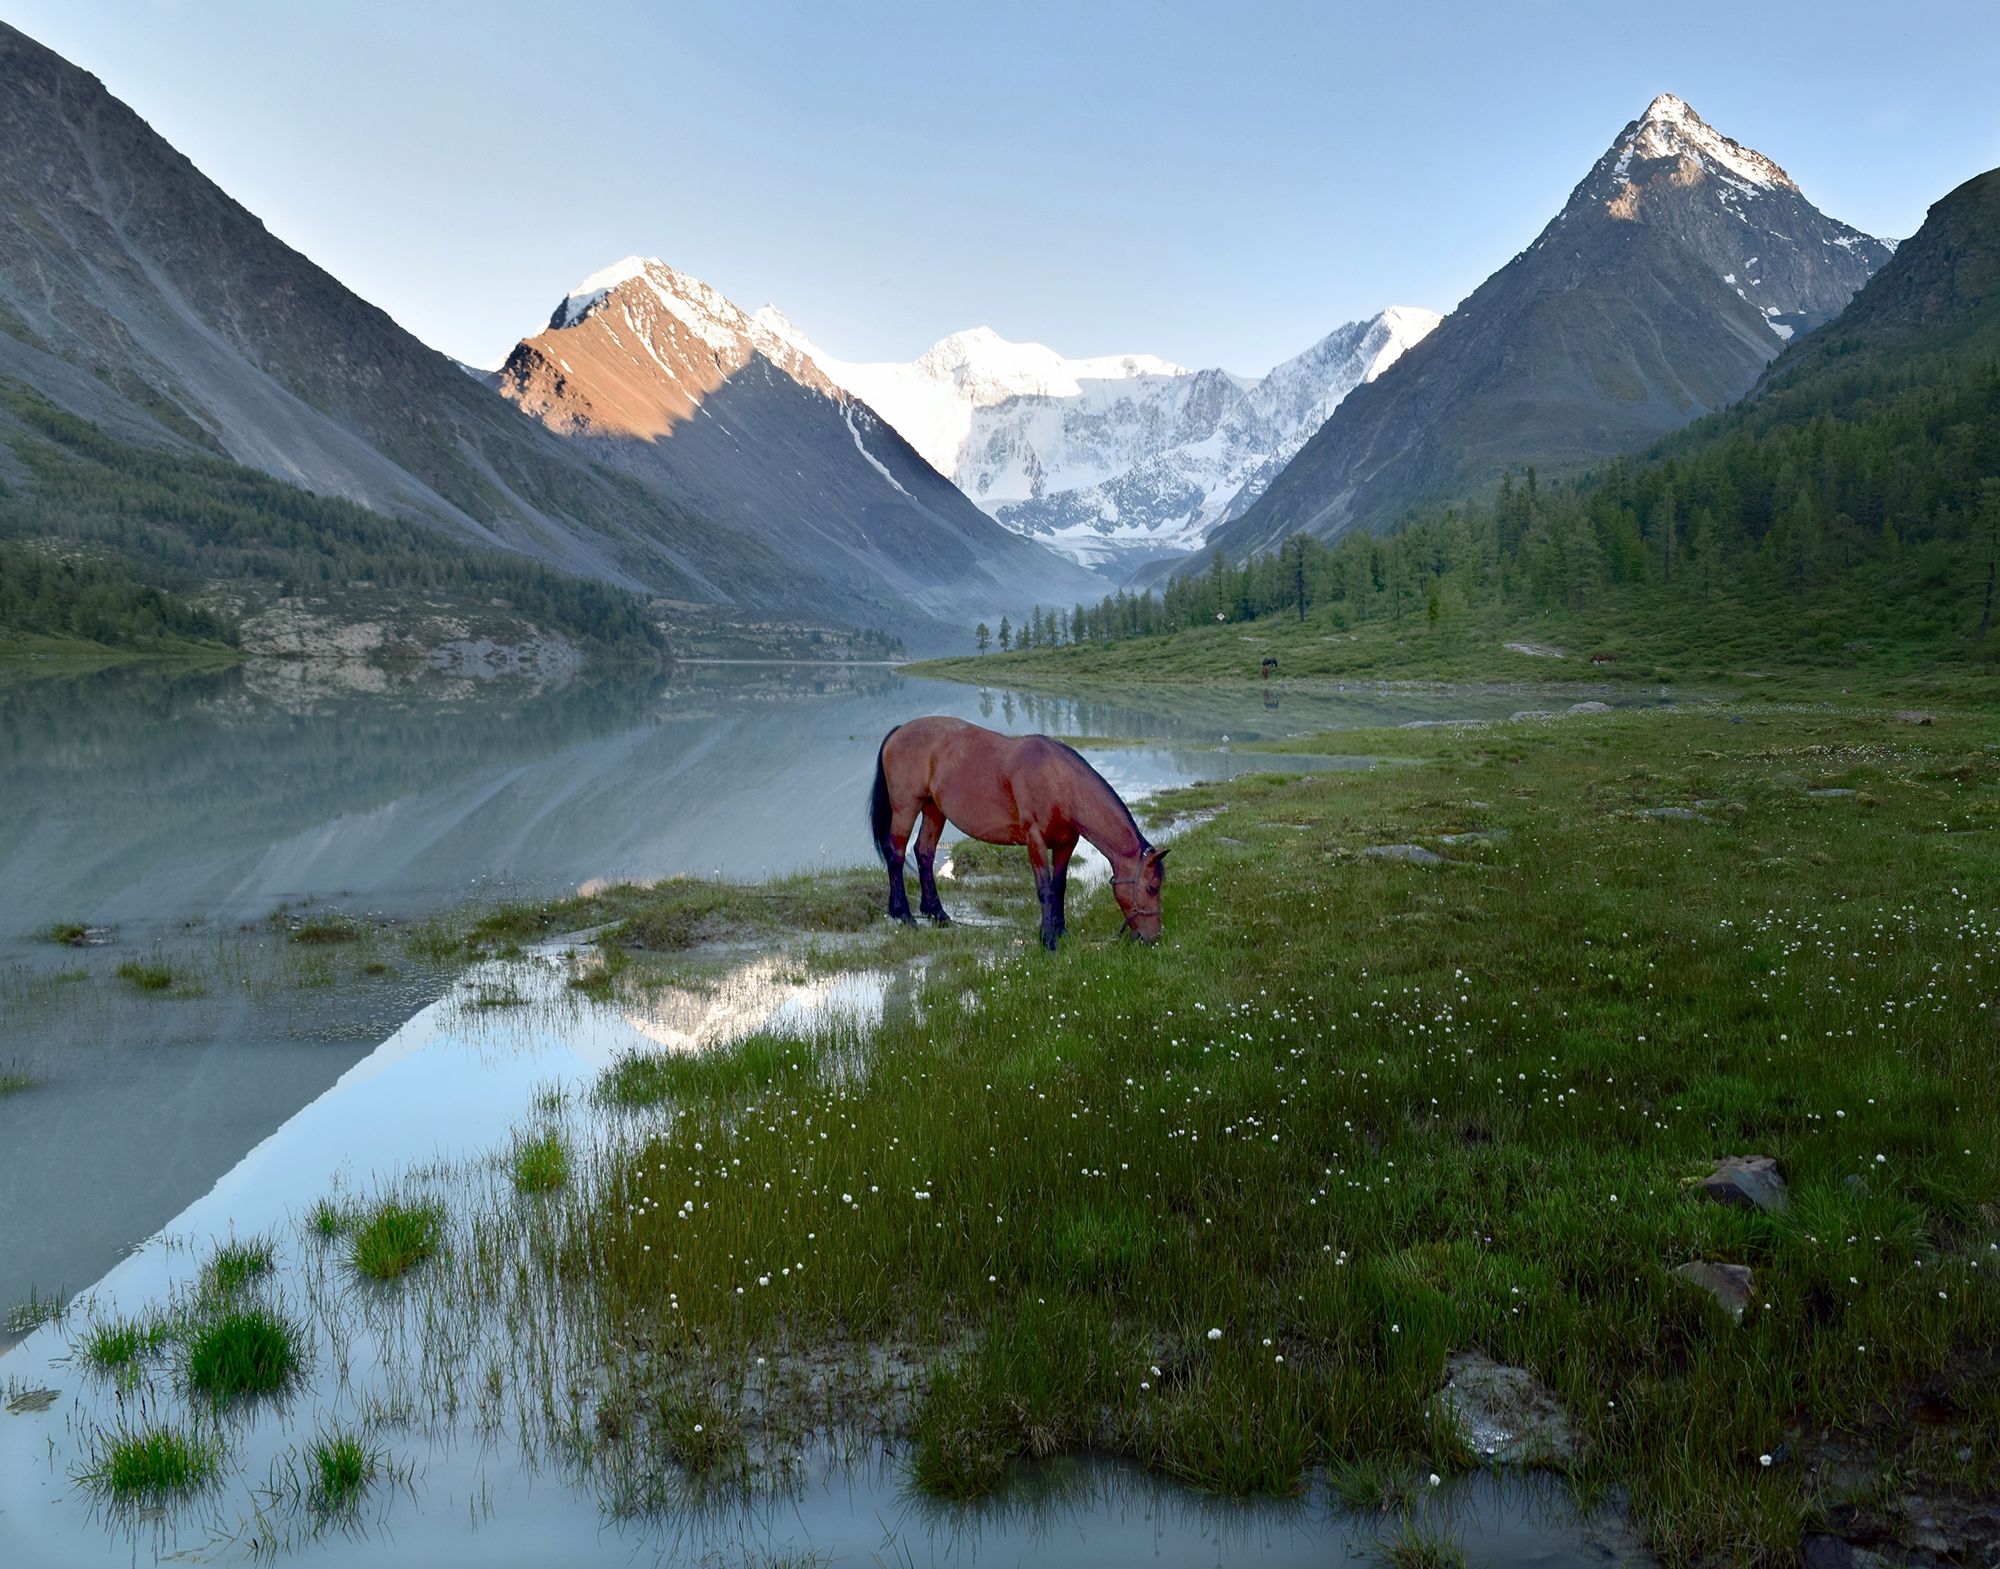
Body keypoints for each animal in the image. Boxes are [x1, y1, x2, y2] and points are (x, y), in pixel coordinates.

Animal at [868, 716, 1168, 948]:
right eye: (1152, 886)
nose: (1152, 938)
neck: (1057, 781)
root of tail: (900, 730)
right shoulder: (1035, 840)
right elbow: (1044, 889)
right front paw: (1048, 940)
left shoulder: (1066, 844)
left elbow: (1059, 887)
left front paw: (1060, 931)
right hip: (906, 808)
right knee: (896, 854)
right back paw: (903, 915)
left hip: (934, 810)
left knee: (924, 853)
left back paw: (937, 913)